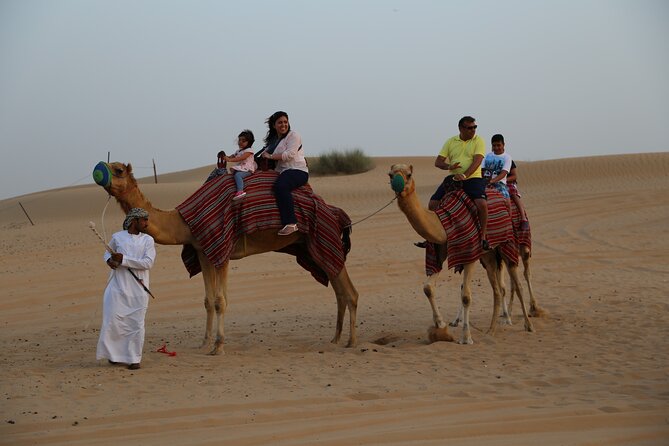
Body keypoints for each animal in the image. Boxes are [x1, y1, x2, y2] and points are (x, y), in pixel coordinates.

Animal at [92, 162, 360, 354]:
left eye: (117, 169)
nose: (97, 170)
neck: (183, 221)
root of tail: (336, 212)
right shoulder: (203, 251)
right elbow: (208, 300)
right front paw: (204, 342)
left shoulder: (222, 250)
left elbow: (221, 300)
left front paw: (218, 346)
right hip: (312, 247)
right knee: (339, 291)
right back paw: (335, 339)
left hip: (321, 237)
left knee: (350, 292)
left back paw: (351, 342)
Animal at [386, 165, 532, 344]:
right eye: (390, 174)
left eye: (409, 174)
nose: (398, 186)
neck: (443, 224)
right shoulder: (440, 252)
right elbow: (428, 288)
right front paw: (440, 325)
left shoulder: (468, 254)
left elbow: (466, 296)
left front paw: (466, 337)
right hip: (489, 256)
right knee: (498, 290)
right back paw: (491, 331)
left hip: (507, 244)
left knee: (517, 284)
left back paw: (528, 323)